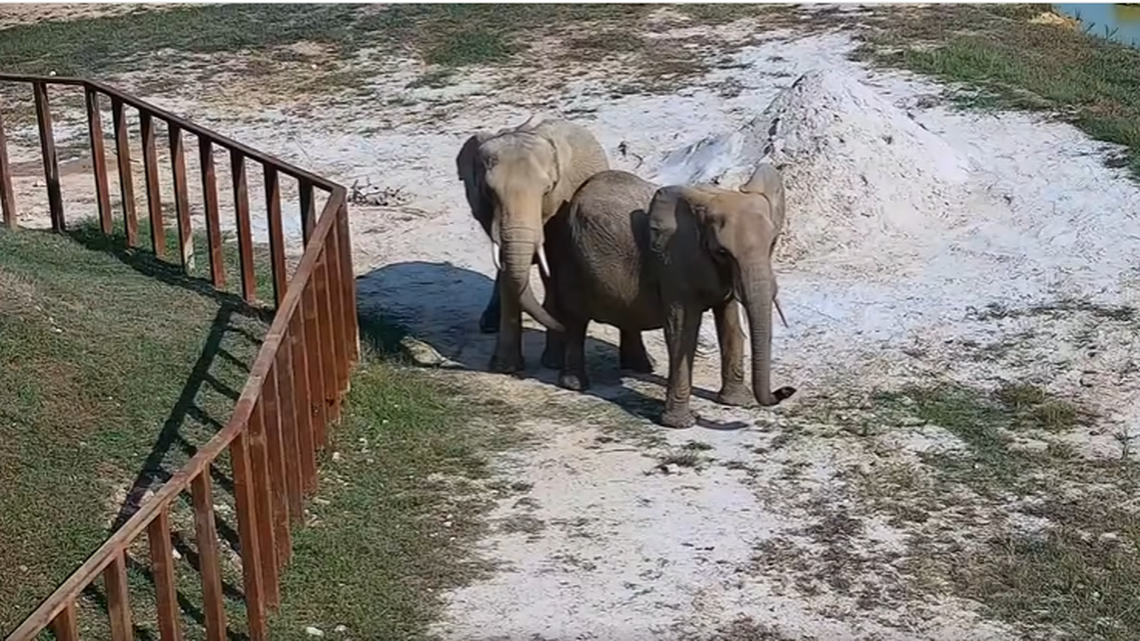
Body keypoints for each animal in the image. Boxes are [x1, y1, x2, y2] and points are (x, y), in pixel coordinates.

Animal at [456, 114, 610, 373]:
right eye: (489, 191)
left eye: (547, 190)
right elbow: (508, 269)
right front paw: (505, 368)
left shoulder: (561, 202)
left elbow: (554, 268)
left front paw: (553, 363)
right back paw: (489, 324)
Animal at [542, 165, 796, 428]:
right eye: (722, 252)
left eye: (773, 244)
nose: (786, 390)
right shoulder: (674, 264)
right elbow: (682, 332)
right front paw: (680, 424)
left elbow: (731, 326)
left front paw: (737, 402)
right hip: (569, 254)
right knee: (576, 318)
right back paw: (575, 384)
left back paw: (641, 368)